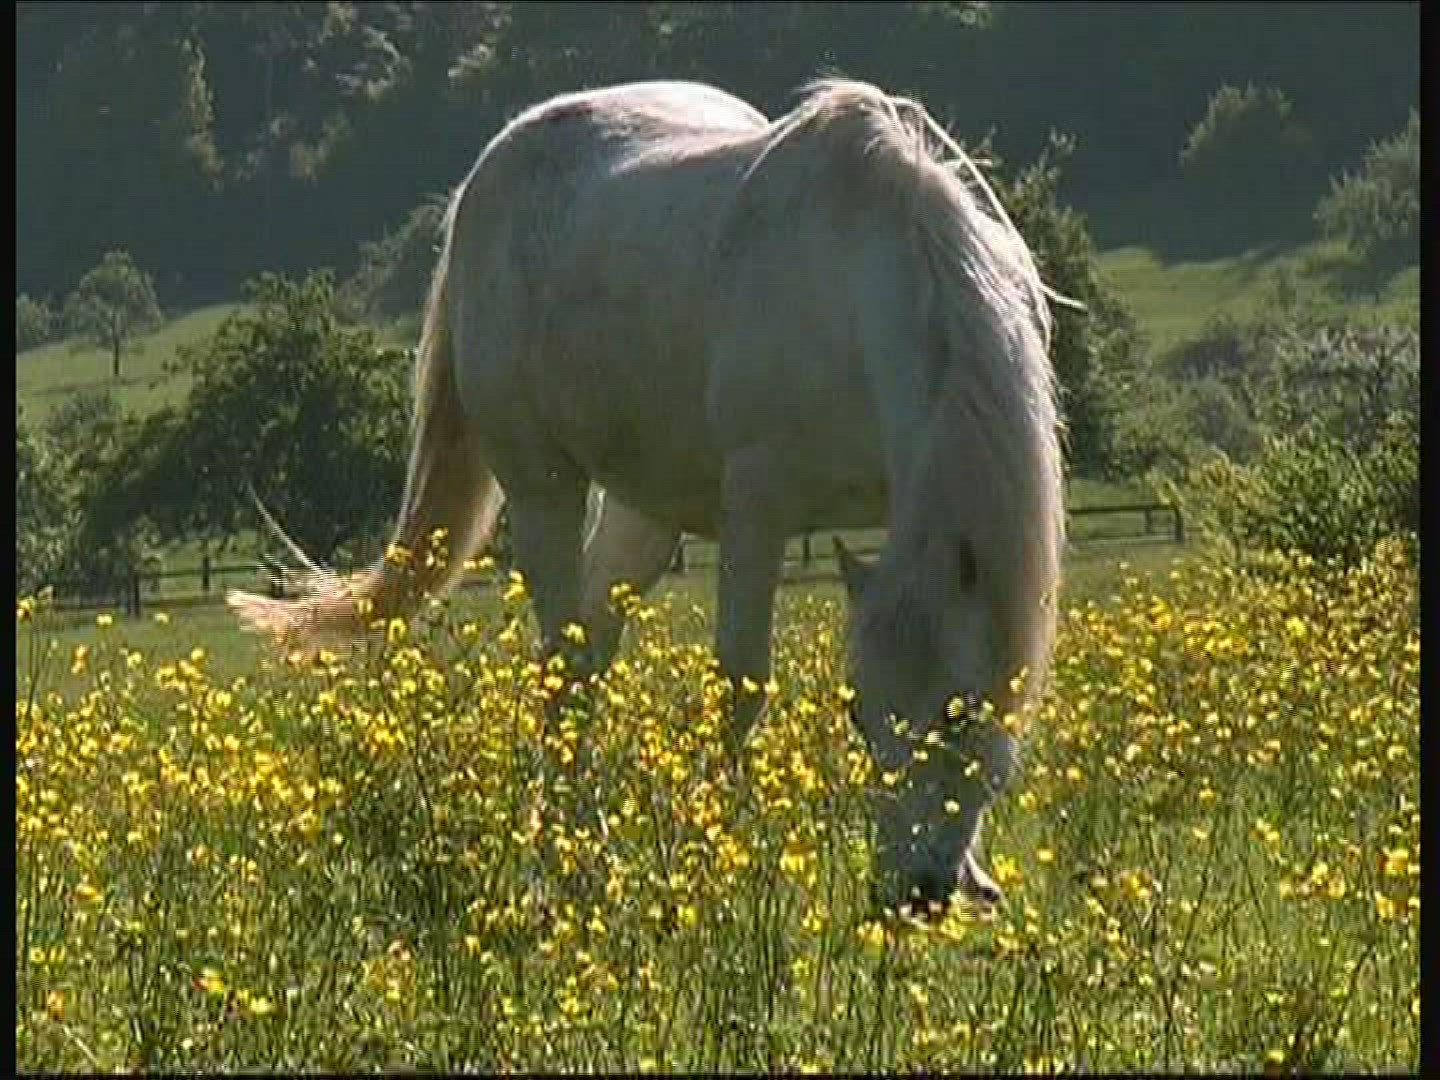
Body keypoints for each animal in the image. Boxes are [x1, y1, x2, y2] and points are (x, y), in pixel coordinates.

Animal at [229, 78, 1065, 918]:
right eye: (854, 710)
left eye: (959, 709)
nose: (914, 893)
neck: (857, 287)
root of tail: (488, 174)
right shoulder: (757, 505)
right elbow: (738, 689)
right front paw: (711, 869)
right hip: (543, 488)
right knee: (564, 668)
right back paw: (576, 870)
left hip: (646, 513)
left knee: (591, 652)